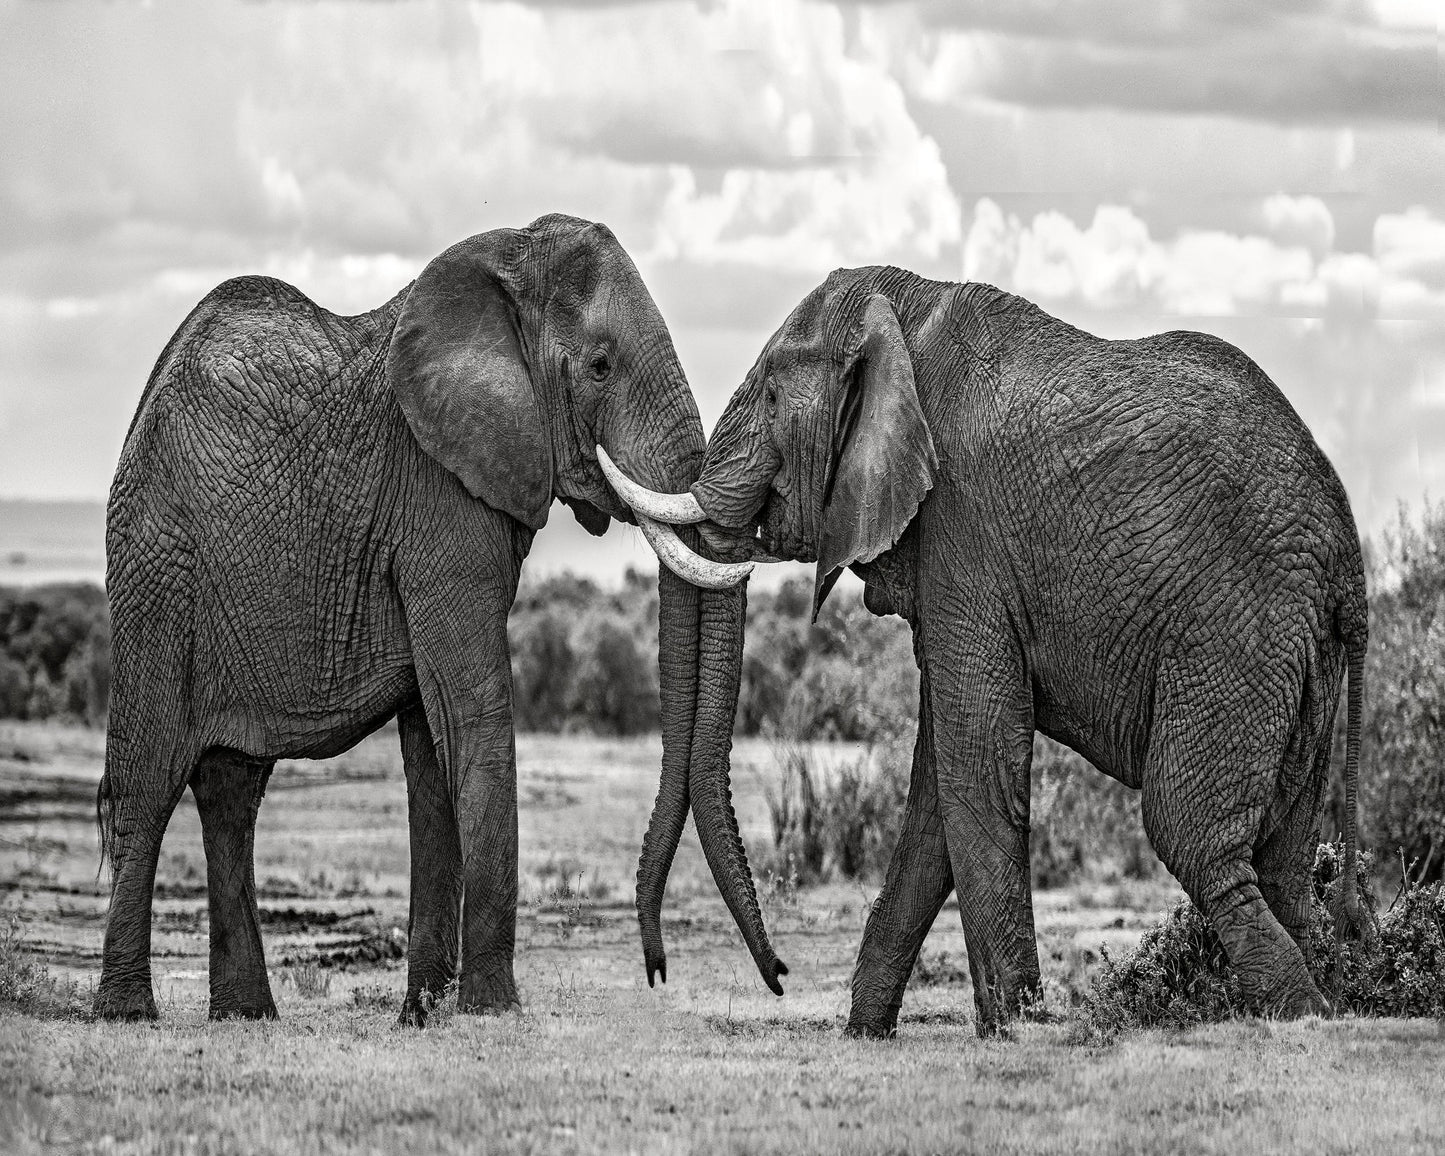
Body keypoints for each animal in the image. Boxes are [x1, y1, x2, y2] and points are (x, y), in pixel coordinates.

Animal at [94, 213, 786, 1024]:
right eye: (600, 366)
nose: (778, 975)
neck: (506, 265)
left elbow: (434, 747)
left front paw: (423, 1016)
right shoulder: (437, 496)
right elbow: (470, 710)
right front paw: (492, 1010)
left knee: (231, 793)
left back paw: (246, 1017)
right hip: (157, 570)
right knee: (150, 782)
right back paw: (127, 1013)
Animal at [603, 266, 1368, 1037]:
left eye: (767, 393)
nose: (781, 977)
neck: (902, 316)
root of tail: (1347, 553)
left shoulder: (963, 530)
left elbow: (975, 762)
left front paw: (1013, 1029)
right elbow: (936, 792)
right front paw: (867, 1031)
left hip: (1236, 632)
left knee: (1192, 835)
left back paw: (1303, 1014)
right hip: (1300, 656)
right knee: (1284, 856)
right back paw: (1324, 999)